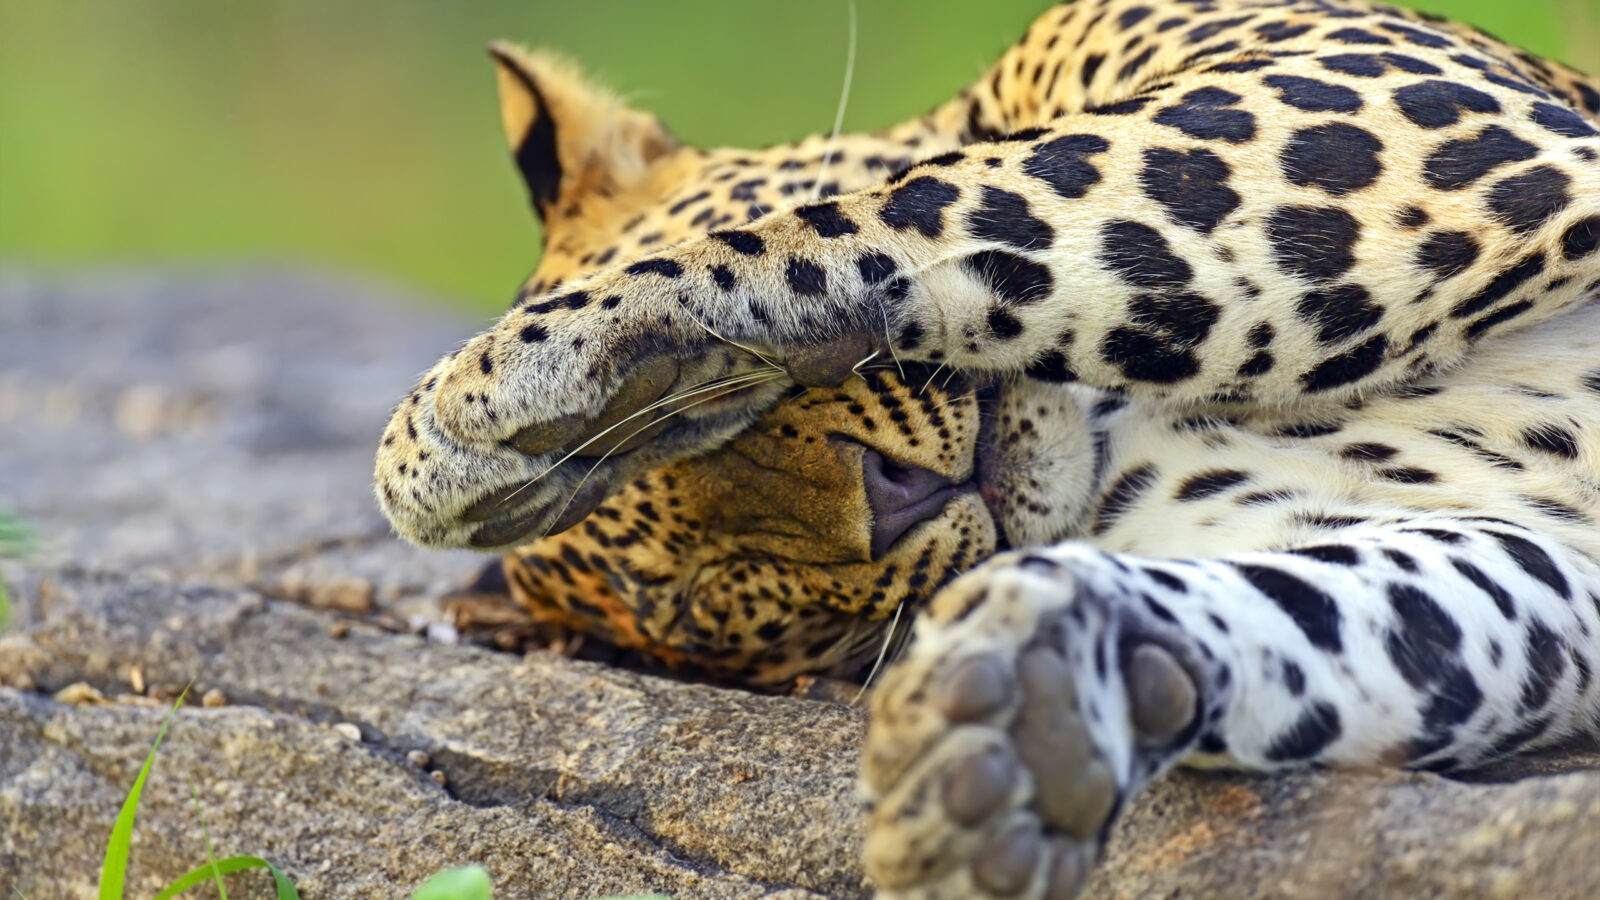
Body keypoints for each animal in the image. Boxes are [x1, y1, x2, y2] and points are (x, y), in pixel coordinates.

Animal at [374, 0, 1600, 896]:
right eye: (723, 593)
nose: (897, 497)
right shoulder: (1538, 570)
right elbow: (1342, 617)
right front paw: (1030, 713)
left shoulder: (1375, 95)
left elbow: (938, 205)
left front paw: (510, 395)